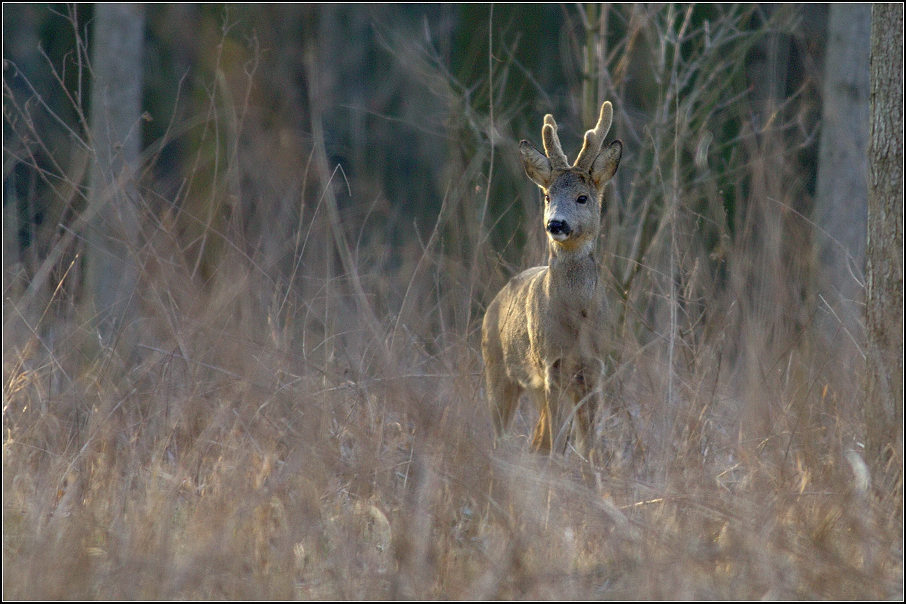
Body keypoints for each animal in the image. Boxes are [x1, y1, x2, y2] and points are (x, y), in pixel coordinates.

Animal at [480, 101, 620, 456]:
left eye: (583, 197)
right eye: (547, 196)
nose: (555, 223)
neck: (576, 319)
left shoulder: (595, 367)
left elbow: (589, 443)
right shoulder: (550, 363)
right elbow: (554, 440)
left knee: (537, 436)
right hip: (498, 369)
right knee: (507, 433)